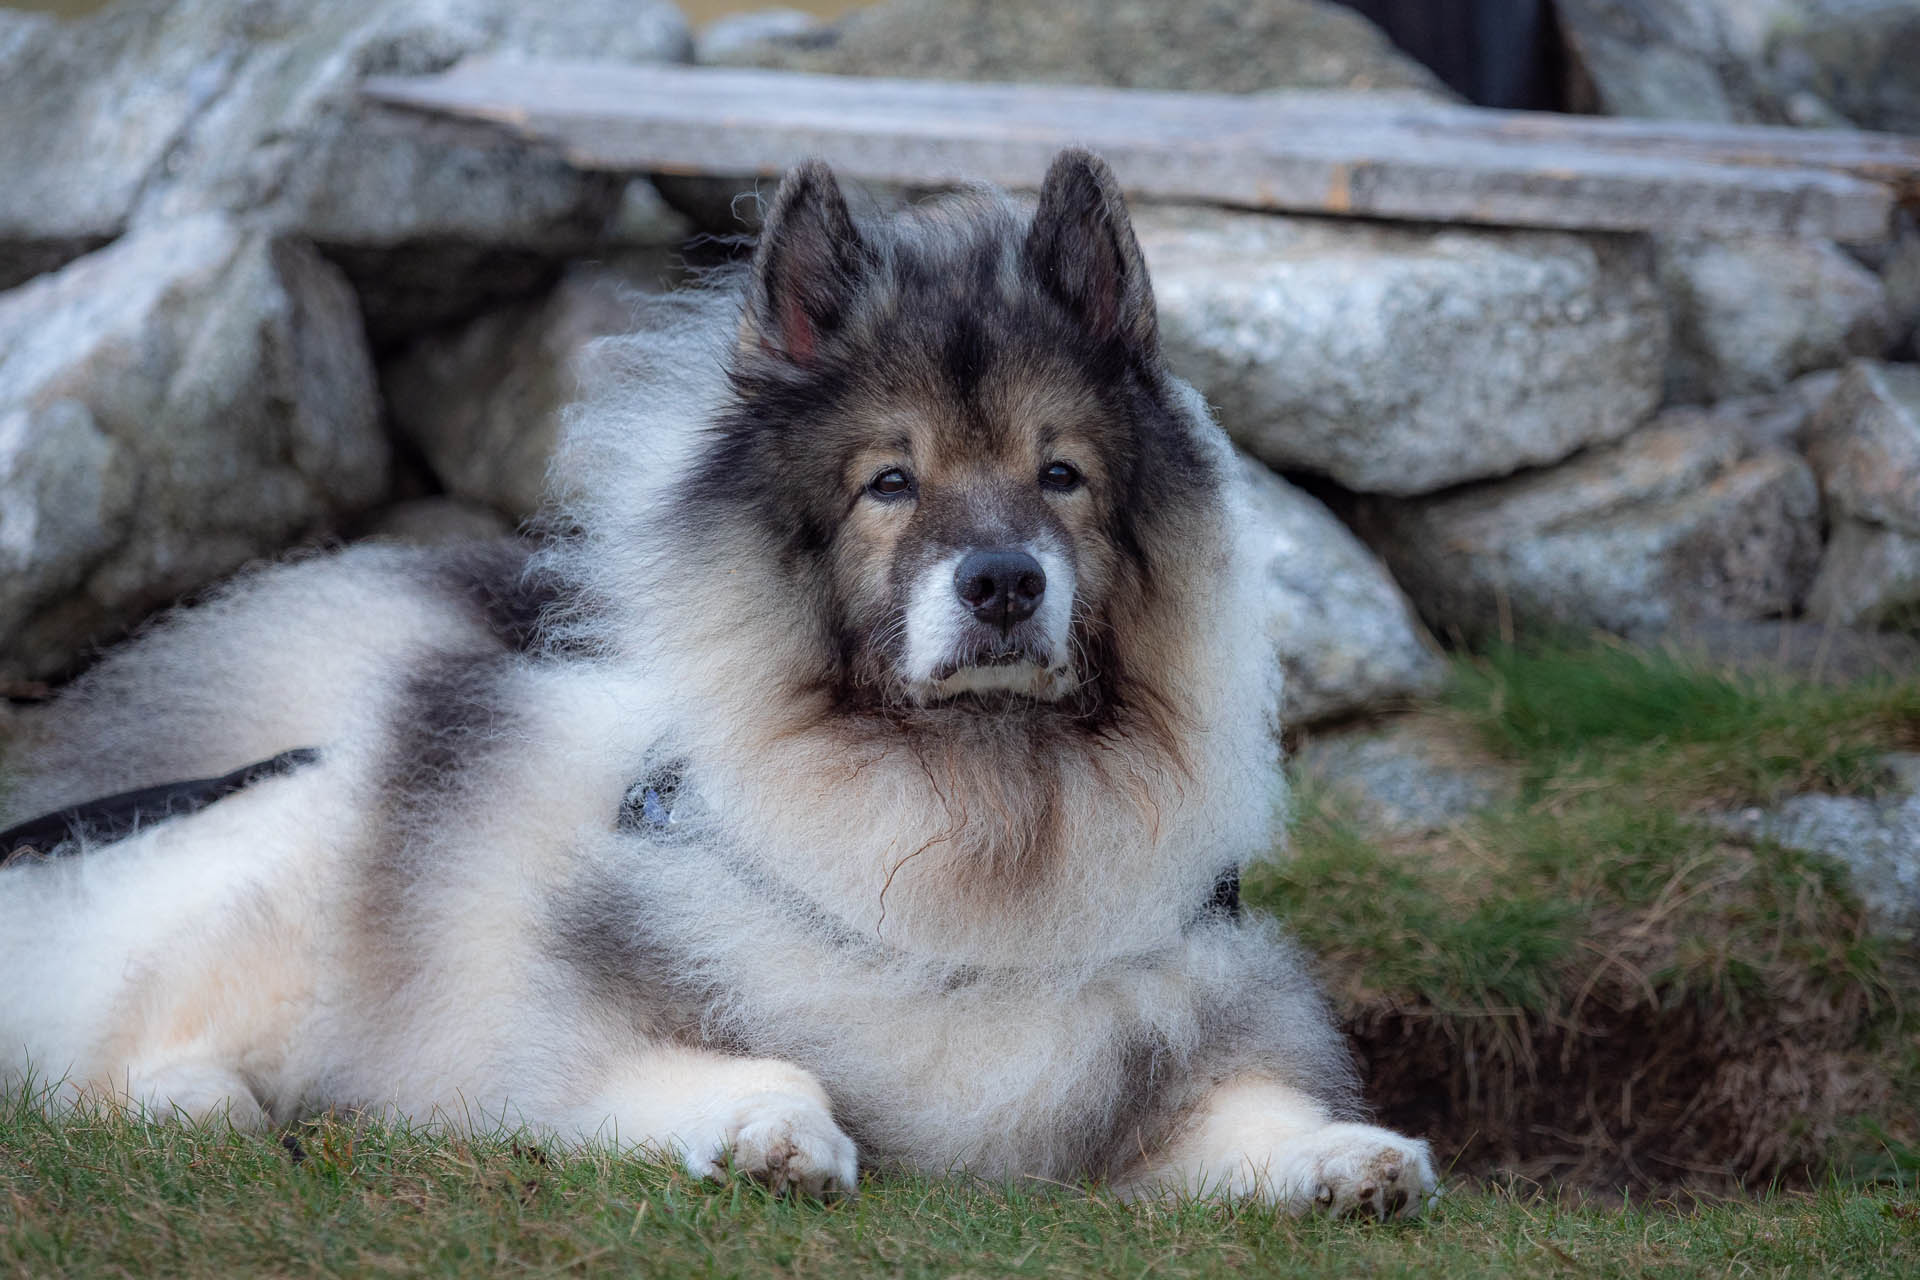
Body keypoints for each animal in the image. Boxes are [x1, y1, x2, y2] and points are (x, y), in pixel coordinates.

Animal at [0, 147, 1436, 1212]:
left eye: (1062, 474)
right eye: (889, 481)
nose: (1002, 583)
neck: (975, 831)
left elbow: (1254, 1109)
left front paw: (1349, 1159)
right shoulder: (575, 1049)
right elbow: (757, 1067)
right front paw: (771, 1133)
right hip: (282, 898)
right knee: (126, 1051)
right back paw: (217, 1109)